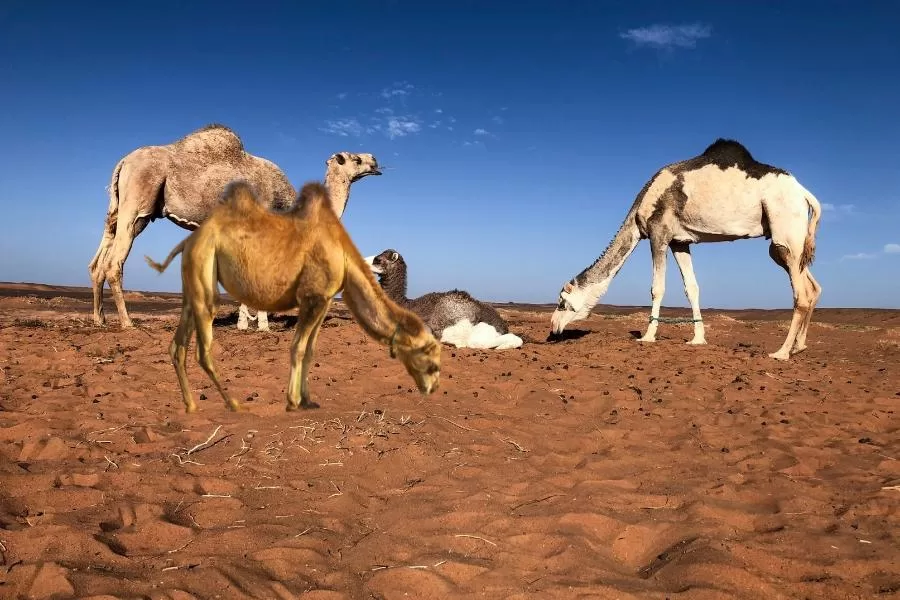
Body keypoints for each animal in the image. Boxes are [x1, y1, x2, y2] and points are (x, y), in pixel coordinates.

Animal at [91, 122, 384, 328]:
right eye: (355, 159)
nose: (375, 160)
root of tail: (124, 161)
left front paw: (246, 323)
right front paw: (260, 325)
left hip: (121, 210)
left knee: (98, 261)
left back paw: (99, 319)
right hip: (139, 201)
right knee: (113, 262)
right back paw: (127, 323)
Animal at [143, 178, 440, 412]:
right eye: (429, 355)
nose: (433, 387)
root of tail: (188, 241)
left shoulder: (324, 301)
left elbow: (310, 351)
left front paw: (308, 400)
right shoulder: (312, 298)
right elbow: (297, 348)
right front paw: (293, 402)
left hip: (192, 283)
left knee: (177, 345)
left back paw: (191, 406)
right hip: (205, 273)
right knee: (202, 349)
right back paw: (232, 404)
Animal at [548, 139, 824, 360]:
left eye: (562, 303)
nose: (553, 329)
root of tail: (806, 194)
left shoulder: (658, 233)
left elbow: (657, 288)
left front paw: (647, 336)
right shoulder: (680, 242)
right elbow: (692, 288)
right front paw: (697, 339)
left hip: (785, 228)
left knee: (801, 293)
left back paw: (782, 352)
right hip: (788, 245)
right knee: (812, 286)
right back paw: (799, 347)